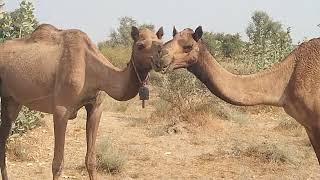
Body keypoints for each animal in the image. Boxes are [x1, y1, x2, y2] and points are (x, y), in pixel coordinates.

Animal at [0, 23, 164, 180]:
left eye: (160, 43)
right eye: (140, 45)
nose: (161, 60)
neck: (93, 69)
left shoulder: (96, 107)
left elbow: (91, 160)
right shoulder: (61, 109)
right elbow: (57, 164)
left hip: (12, 101)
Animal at [154, 26, 320, 165]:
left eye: (188, 46)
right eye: (170, 40)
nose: (159, 57)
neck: (287, 78)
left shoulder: (315, 123)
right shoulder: (309, 126)